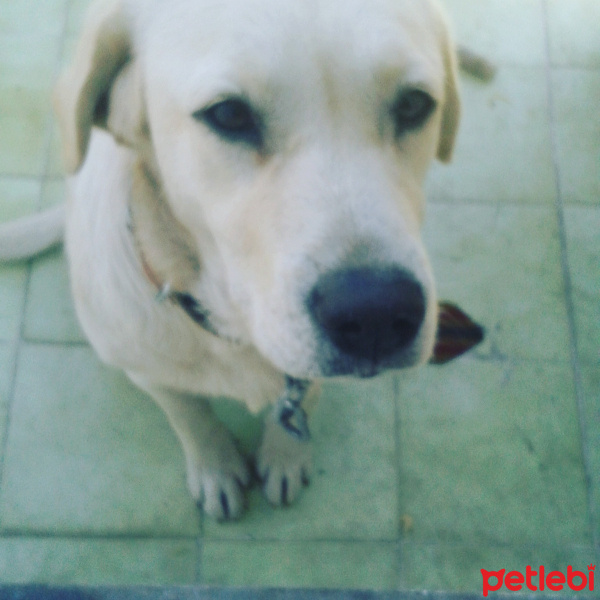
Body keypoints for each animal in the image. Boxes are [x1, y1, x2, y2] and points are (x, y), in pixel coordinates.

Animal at [0, 0, 474, 516]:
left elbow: (302, 401)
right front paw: (216, 467)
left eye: (413, 105)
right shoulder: (148, 373)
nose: (376, 314)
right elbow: (190, 417)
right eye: (228, 114)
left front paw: (286, 454)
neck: (232, 331)